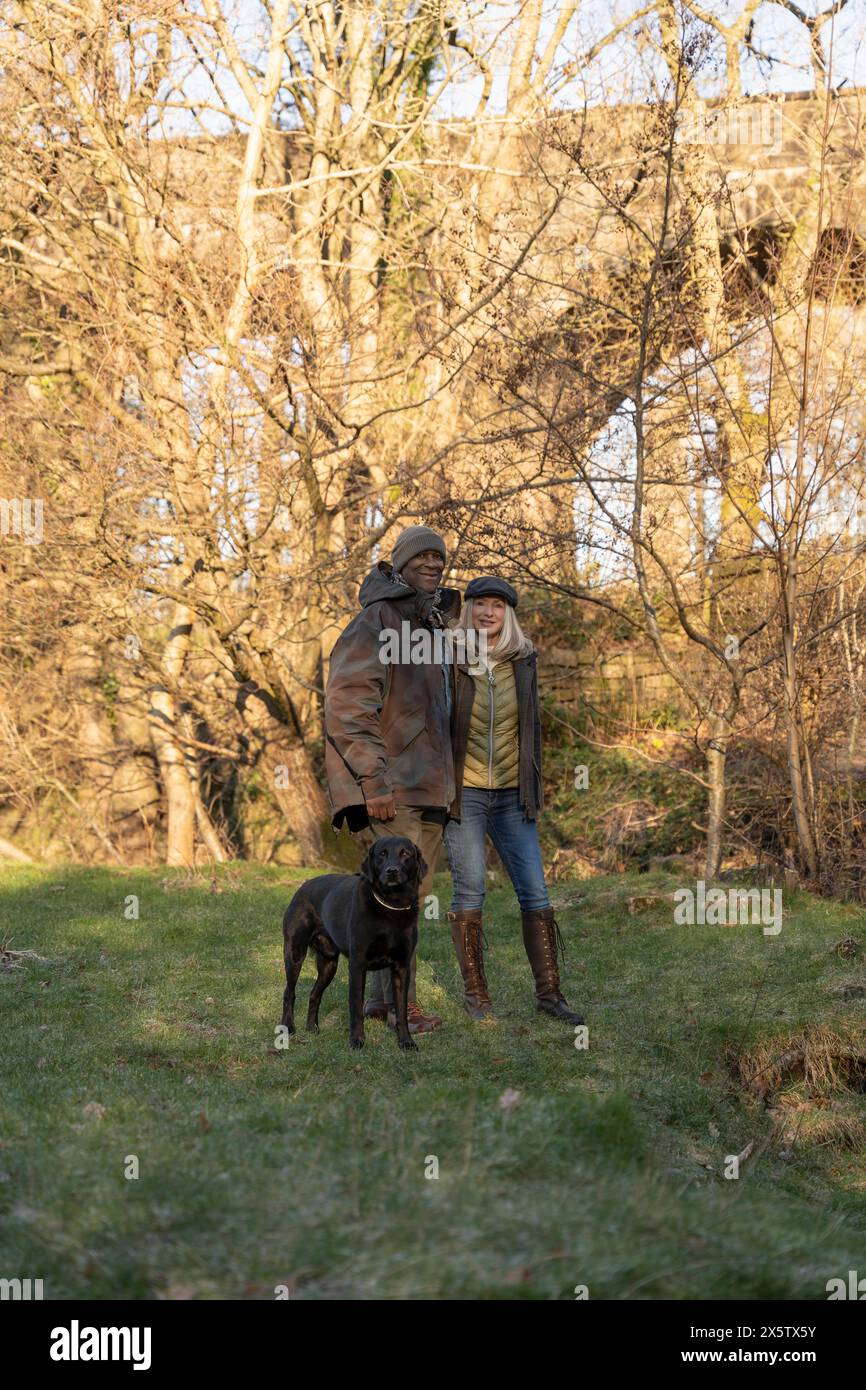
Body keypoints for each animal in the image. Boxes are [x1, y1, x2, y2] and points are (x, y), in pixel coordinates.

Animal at [280, 834, 428, 1050]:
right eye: (382, 854)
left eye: (405, 853)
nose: (392, 871)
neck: (391, 907)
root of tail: (302, 887)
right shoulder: (358, 966)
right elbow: (357, 1007)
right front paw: (357, 1040)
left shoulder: (401, 966)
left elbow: (401, 1010)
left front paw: (406, 1042)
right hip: (294, 954)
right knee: (289, 992)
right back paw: (288, 1027)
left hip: (329, 965)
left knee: (314, 994)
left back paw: (312, 1028)